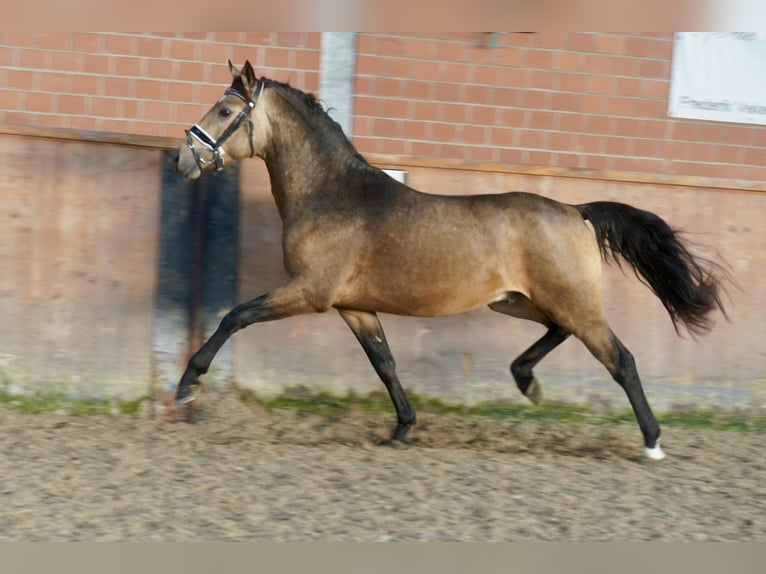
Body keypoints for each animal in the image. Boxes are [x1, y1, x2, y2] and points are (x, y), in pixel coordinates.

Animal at [176, 60, 732, 462]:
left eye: (224, 112)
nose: (184, 159)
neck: (329, 194)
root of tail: (577, 212)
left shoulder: (310, 293)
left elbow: (234, 316)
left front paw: (186, 385)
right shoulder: (353, 306)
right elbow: (384, 364)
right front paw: (402, 430)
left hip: (569, 303)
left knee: (621, 360)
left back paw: (652, 442)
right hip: (517, 302)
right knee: (560, 332)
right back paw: (526, 381)